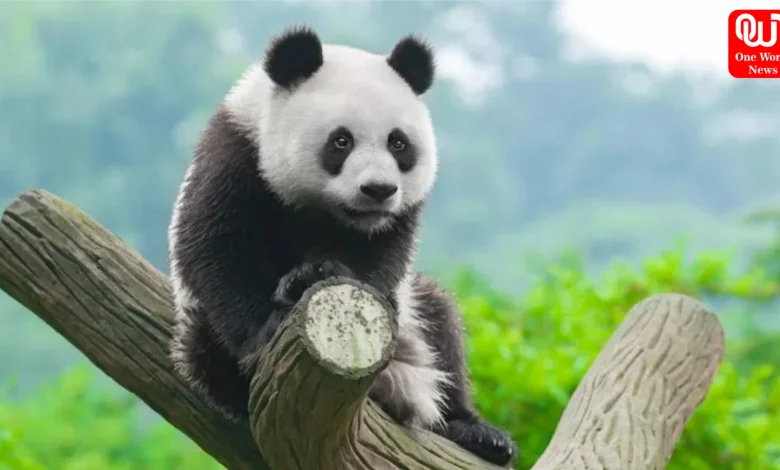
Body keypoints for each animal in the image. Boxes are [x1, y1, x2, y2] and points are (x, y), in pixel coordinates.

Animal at [167, 26, 517, 467]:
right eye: (341, 141)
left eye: (398, 144)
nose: (378, 190)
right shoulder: (236, 154)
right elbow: (216, 249)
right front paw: (269, 326)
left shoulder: (395, 219)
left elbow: (380, 257)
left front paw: (316, 272)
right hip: (199, 331)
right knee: (204, 350)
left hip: (414, 324)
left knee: (442, 324)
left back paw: (477, 433)